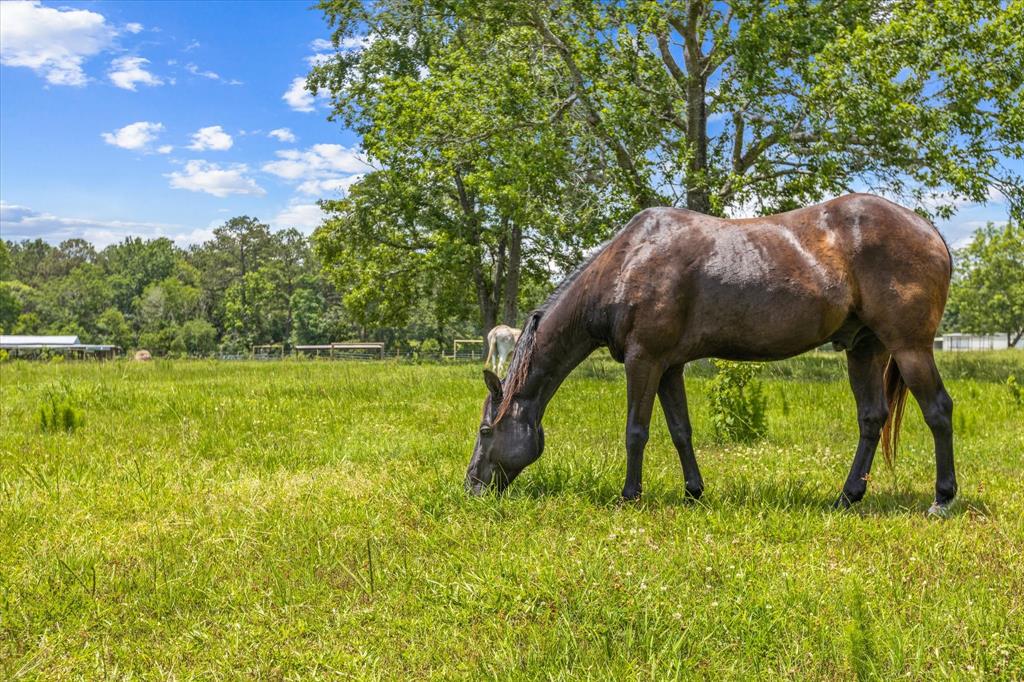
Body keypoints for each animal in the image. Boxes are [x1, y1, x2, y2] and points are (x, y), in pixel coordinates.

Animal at [468, 193, 954, 512]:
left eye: (486, 430)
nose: (471, 485)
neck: (627, 263)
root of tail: (929, 230)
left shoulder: (644, 361)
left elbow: (636, 431)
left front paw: (630, 496)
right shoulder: (668, 367)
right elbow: (680, 431)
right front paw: (693, 492)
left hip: (909, 347)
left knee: (938, 410)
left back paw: (942, 499)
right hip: (864, 348)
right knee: (872, 418)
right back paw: (847, 496)